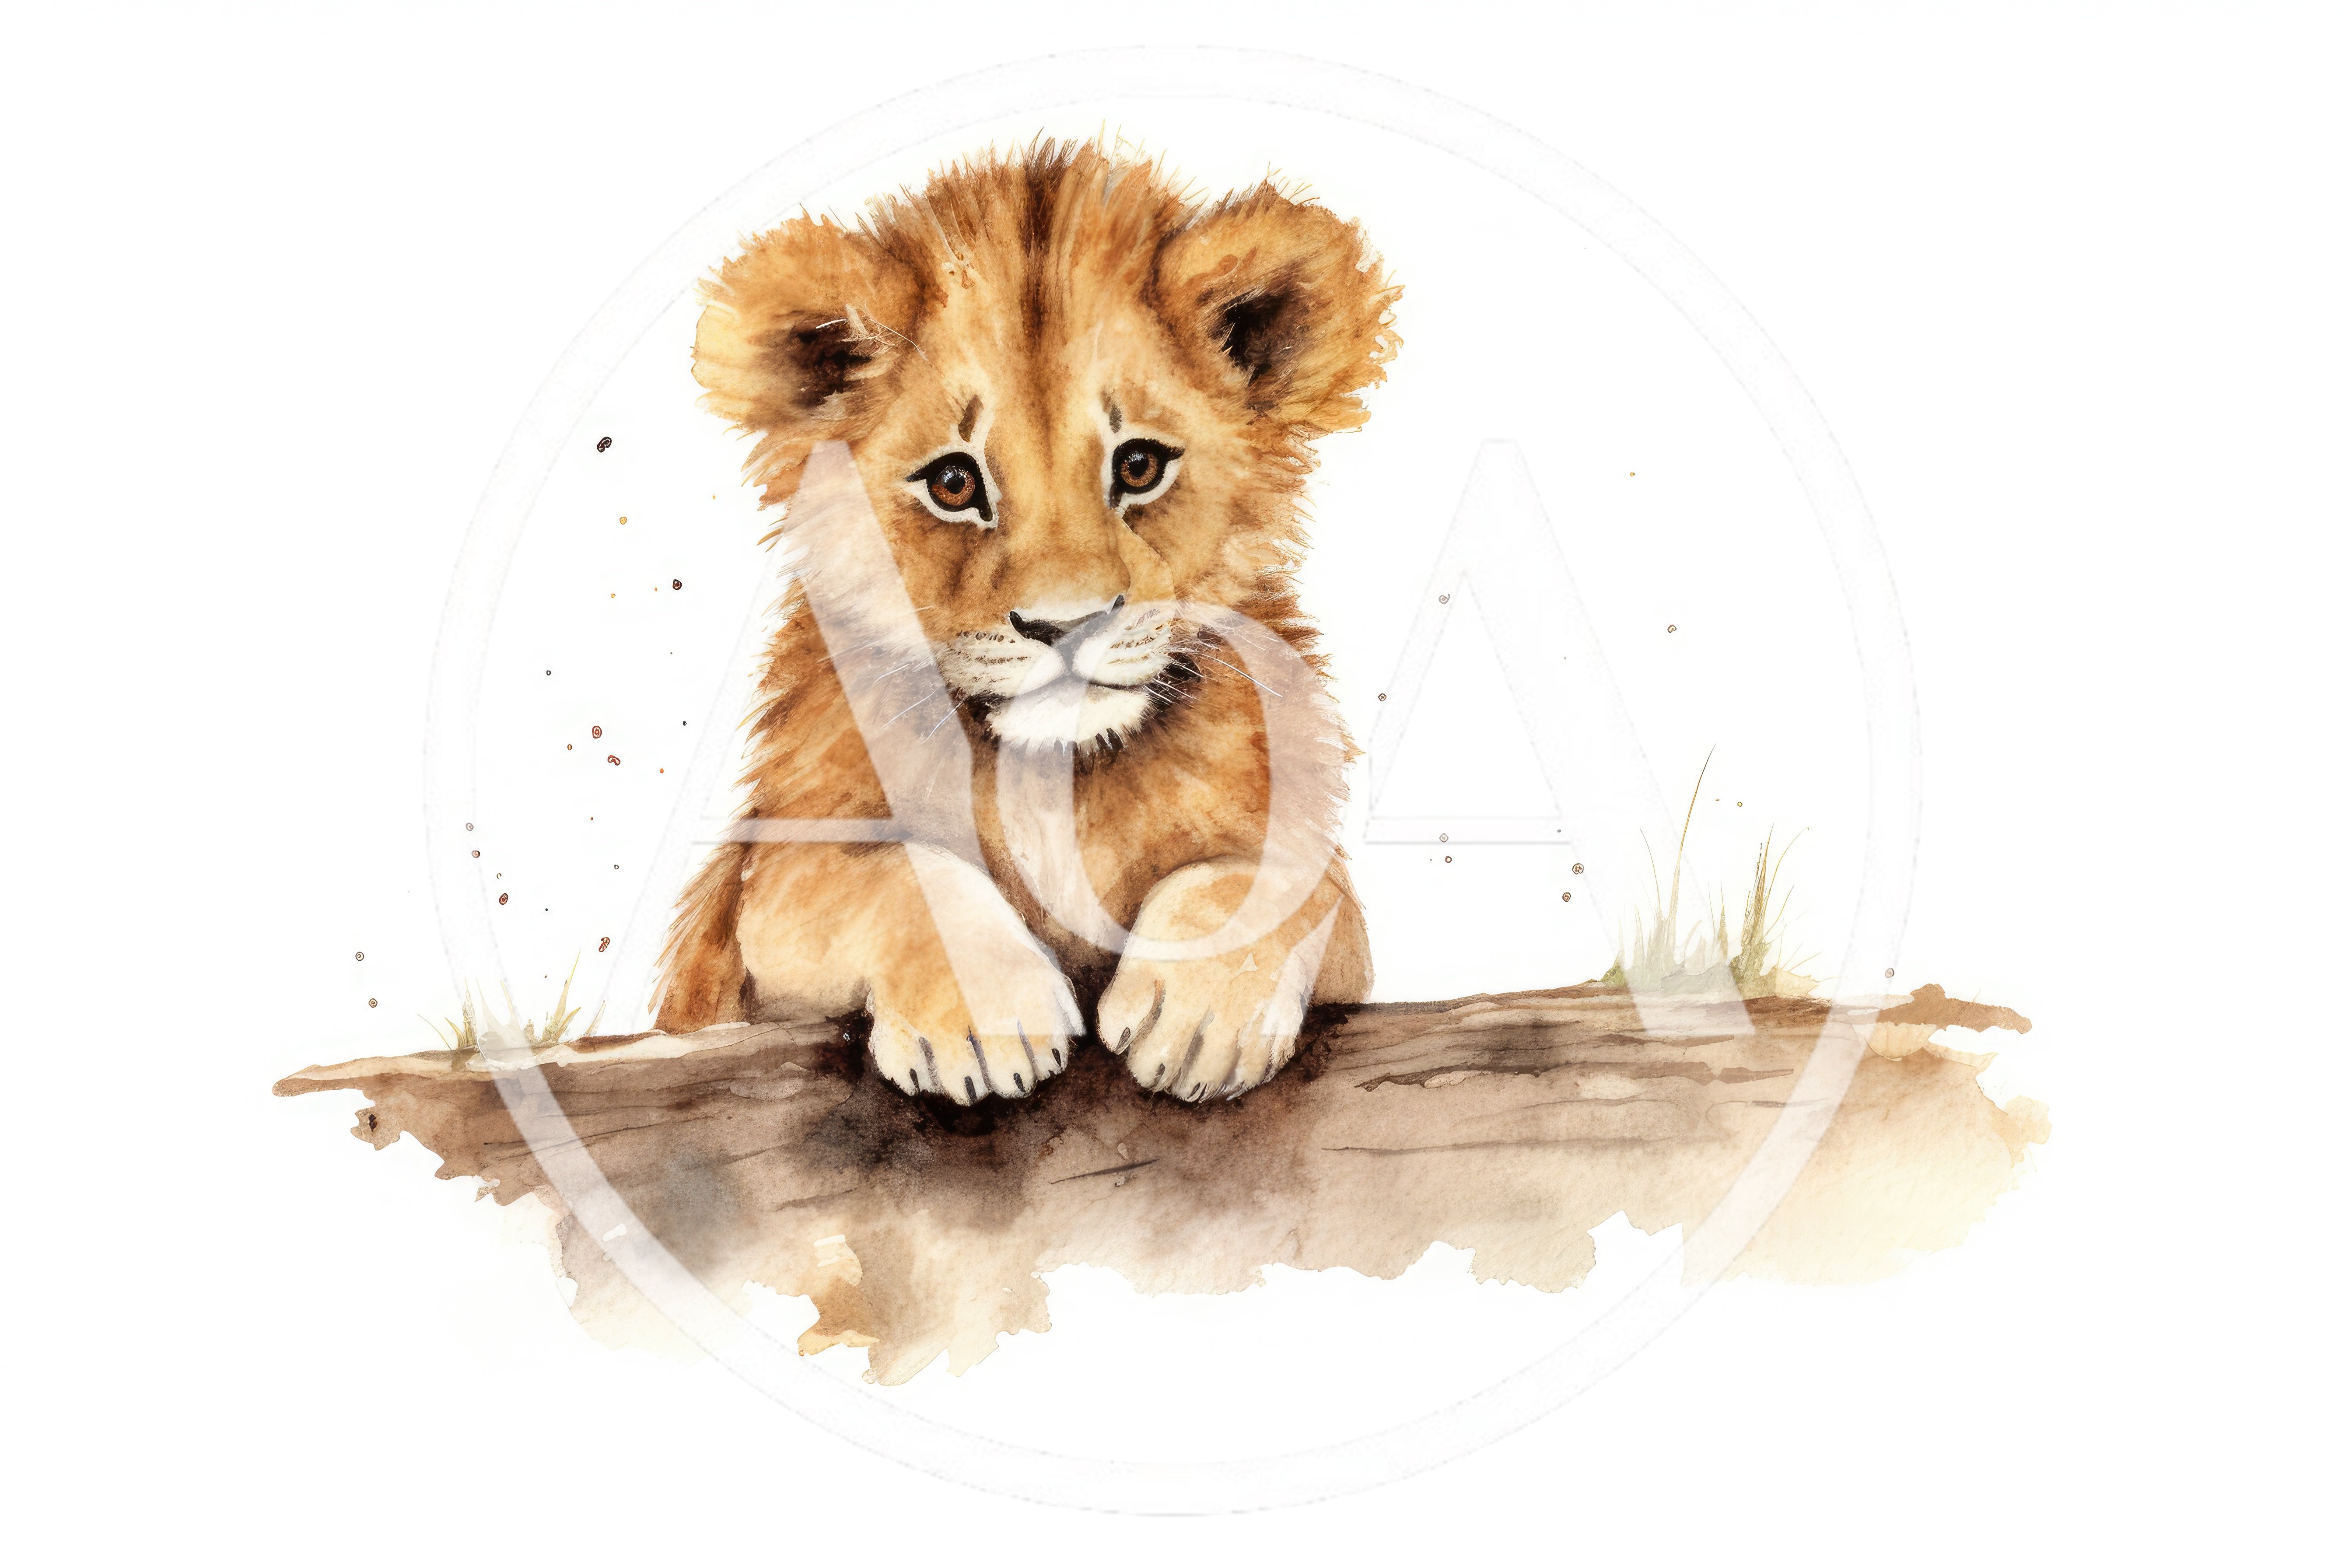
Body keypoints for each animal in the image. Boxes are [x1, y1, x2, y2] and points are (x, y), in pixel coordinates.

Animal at [654, 139, 1399, 1106]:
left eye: (1139, 466)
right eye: (954, 483)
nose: (1065, 625)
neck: (1055, 776)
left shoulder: (1338, 932)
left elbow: (1277, 883)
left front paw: (1197, 1018)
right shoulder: (759, 899)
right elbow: (897, 874)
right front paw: (988, 1019)